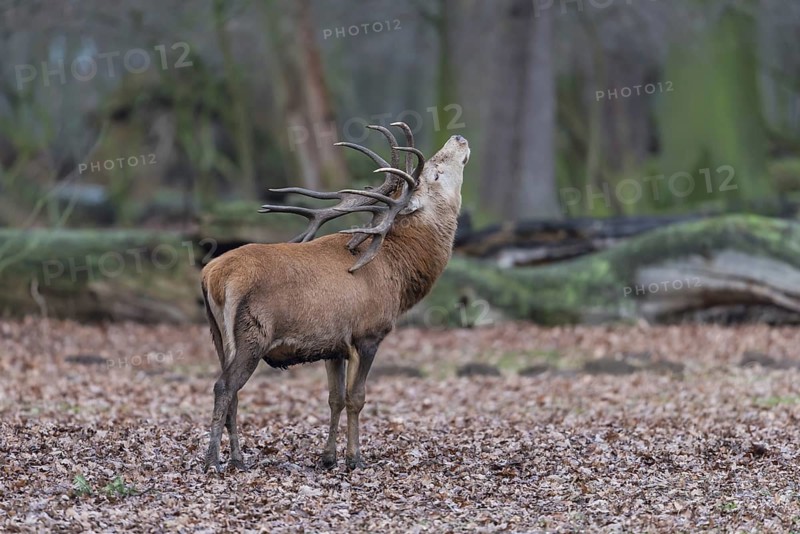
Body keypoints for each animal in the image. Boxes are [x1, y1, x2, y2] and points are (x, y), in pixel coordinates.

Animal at [201, 122, 470, 472]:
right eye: (435, 173)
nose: (459, 137)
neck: (398, 272)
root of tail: (213, 276)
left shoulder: (333, 345)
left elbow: (335, 398)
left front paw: (328, 458)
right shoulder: (368, 333)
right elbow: (357, 398)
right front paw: (355, 459)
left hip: (218, 335)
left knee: (230, 388)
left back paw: (237, 459)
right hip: (252, 334)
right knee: (225, 386)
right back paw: (213, 461)